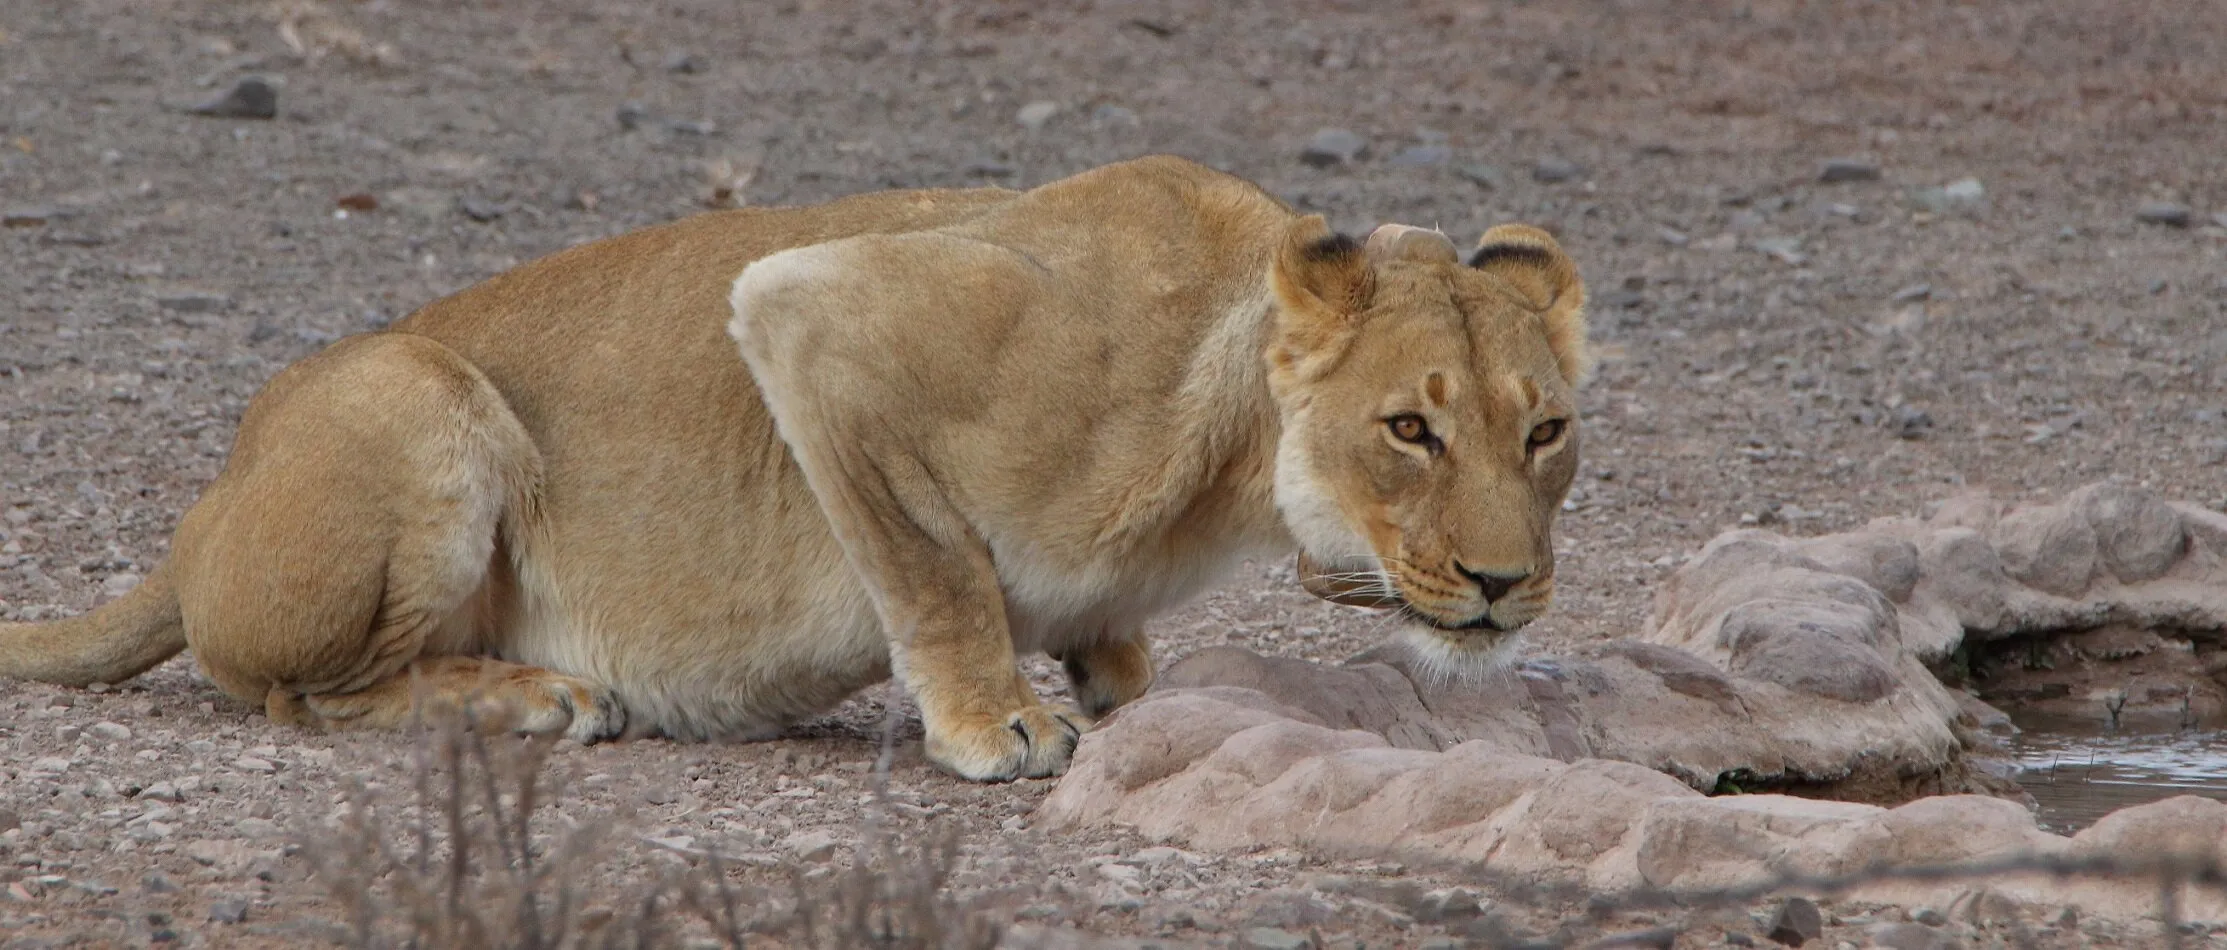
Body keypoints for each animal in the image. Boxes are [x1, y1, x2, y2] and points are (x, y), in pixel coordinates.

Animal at [0, 155, 1589, 781]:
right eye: (1409, 428)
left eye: (1546, 430)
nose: (1506, 585)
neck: (1232, 464)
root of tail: (199, 519)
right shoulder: (818, 311)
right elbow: (937, 568)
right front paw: (996, 721)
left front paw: (1122, 678)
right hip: (421, 398)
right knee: (296, 692)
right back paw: (528, 695)